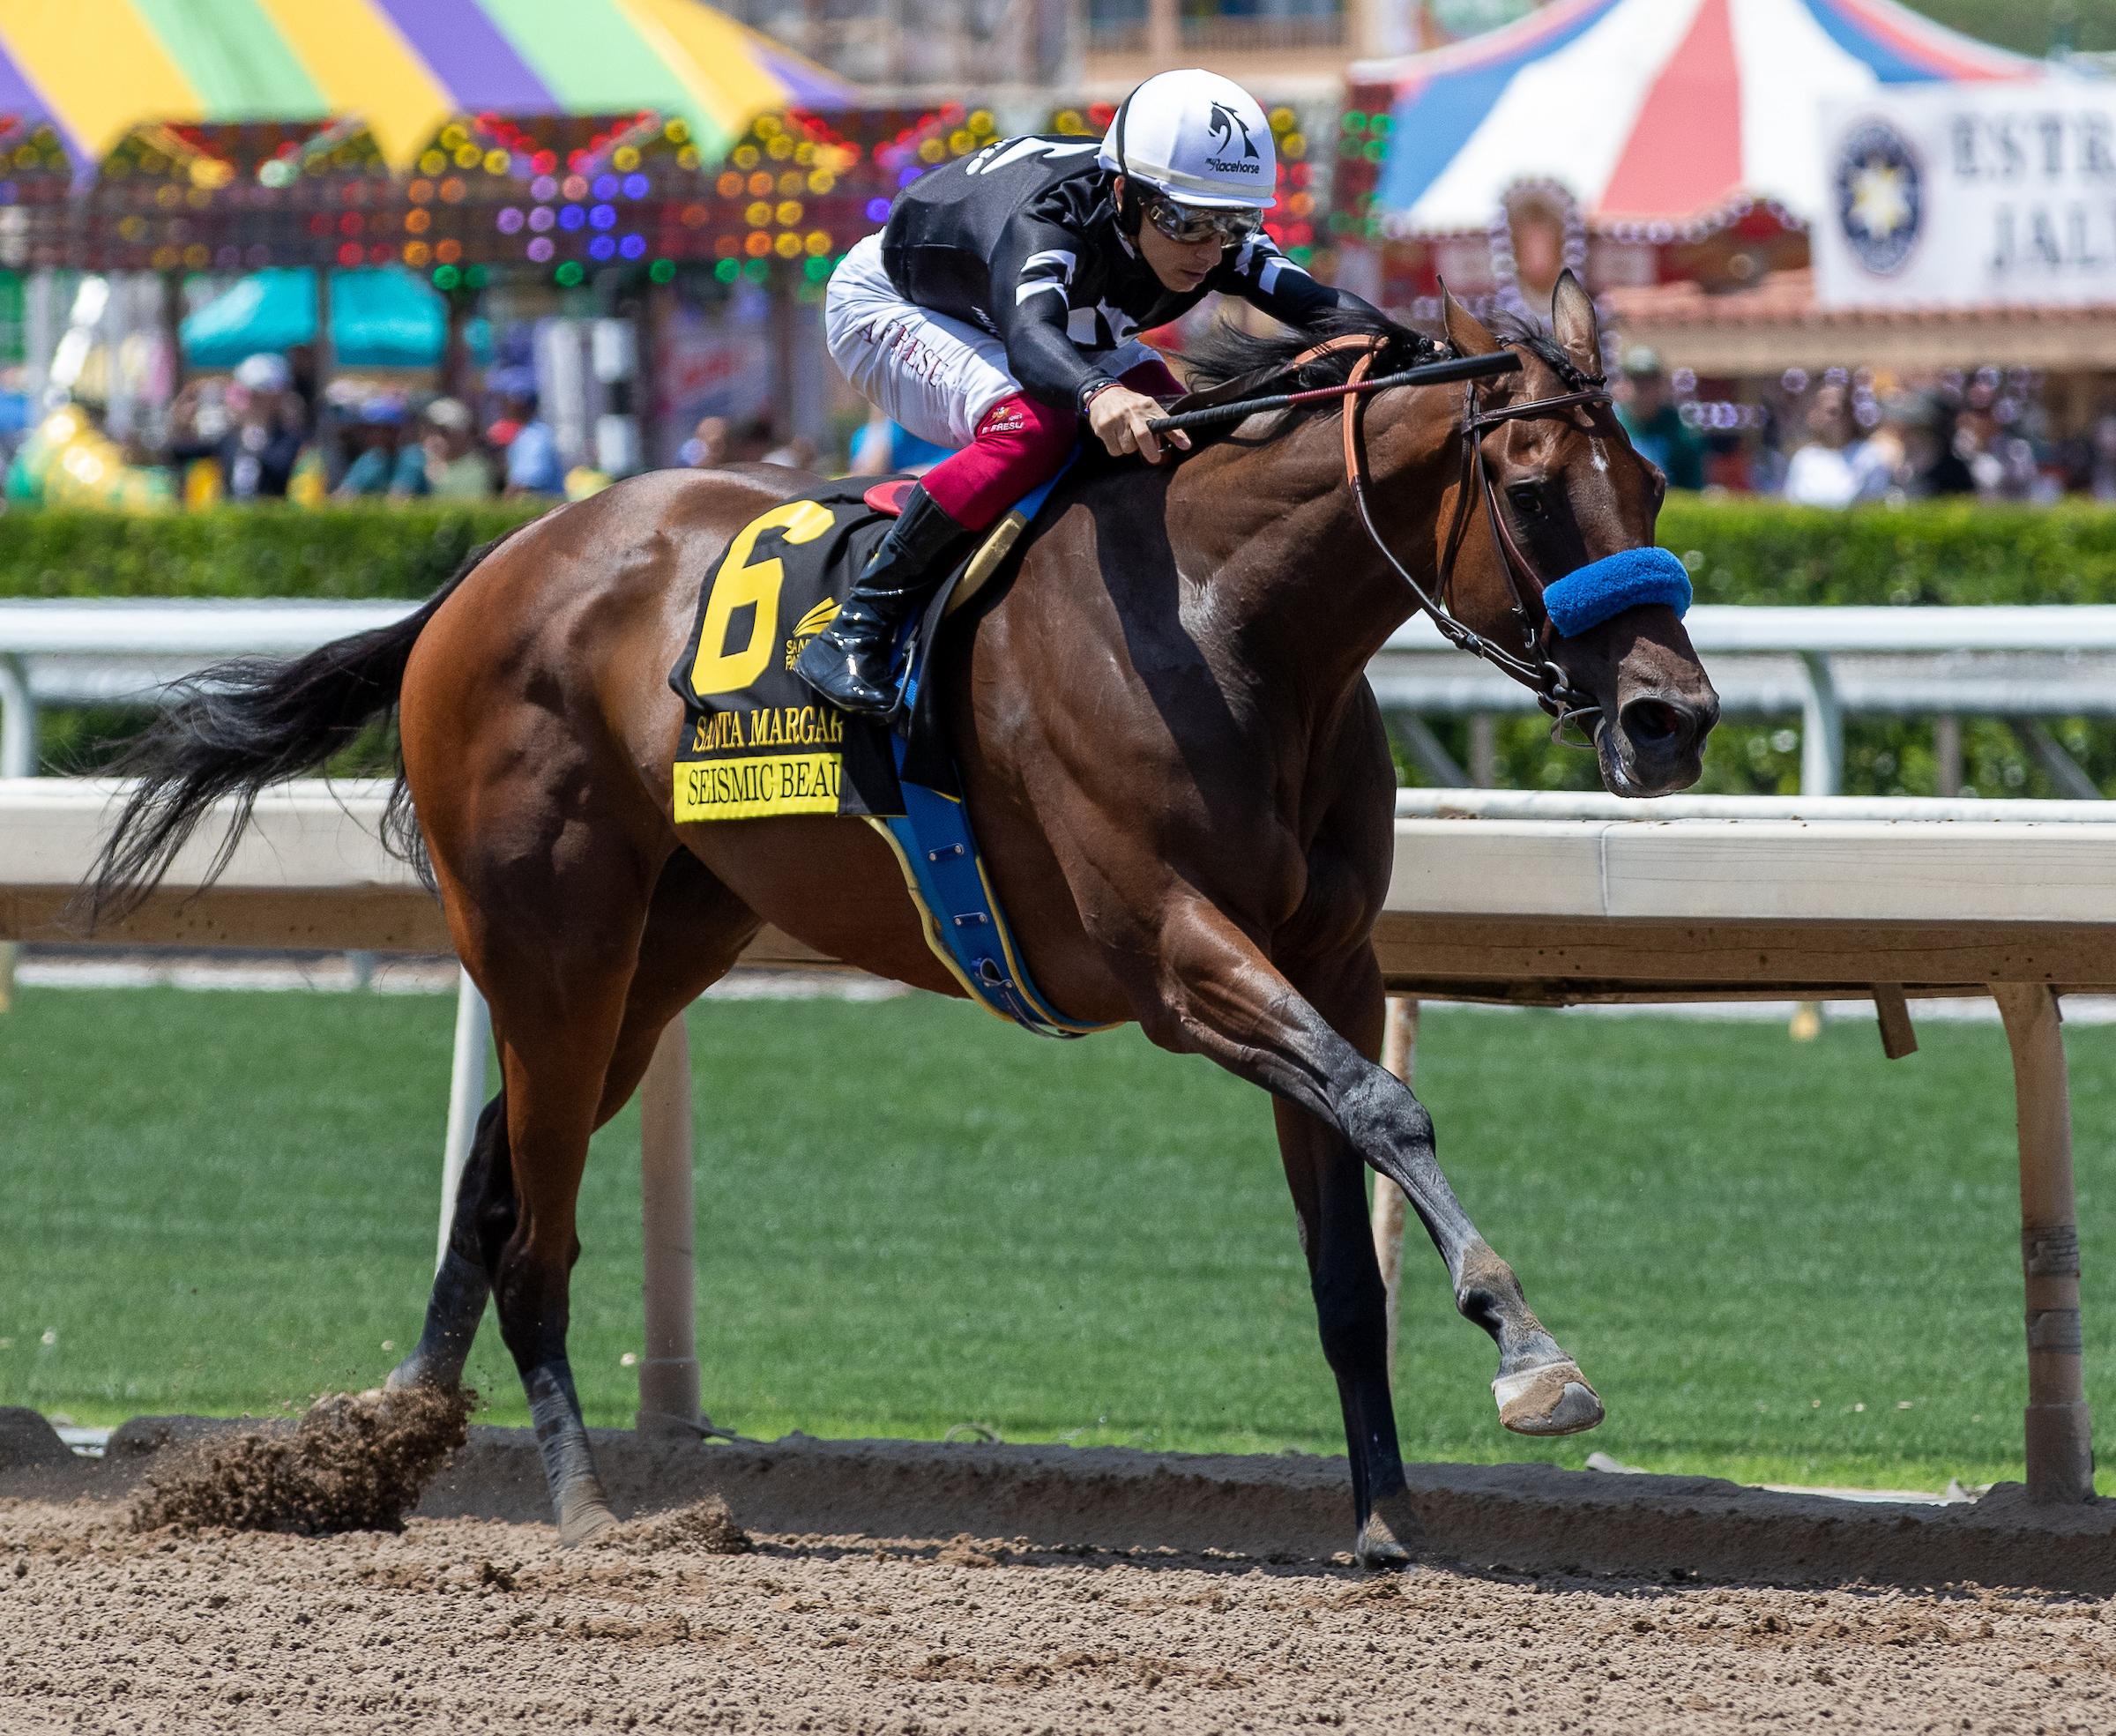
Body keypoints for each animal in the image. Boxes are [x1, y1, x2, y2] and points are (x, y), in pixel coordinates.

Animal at [87, 275, 1717, 1567]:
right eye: (1529, 485)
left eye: (1648, 483)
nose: (1673, 719)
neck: (1223, 625)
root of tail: (483, 575)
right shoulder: (1173, 956)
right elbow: (1389, 1106)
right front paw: (1531, 1353)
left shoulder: (1334, 958)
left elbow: (1343, 1250)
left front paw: (1383, 1515)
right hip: (550, 938)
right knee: (537, 1224)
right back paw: (584, 1505)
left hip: (665, 946)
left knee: (496, 1168)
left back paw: (378, 1437)